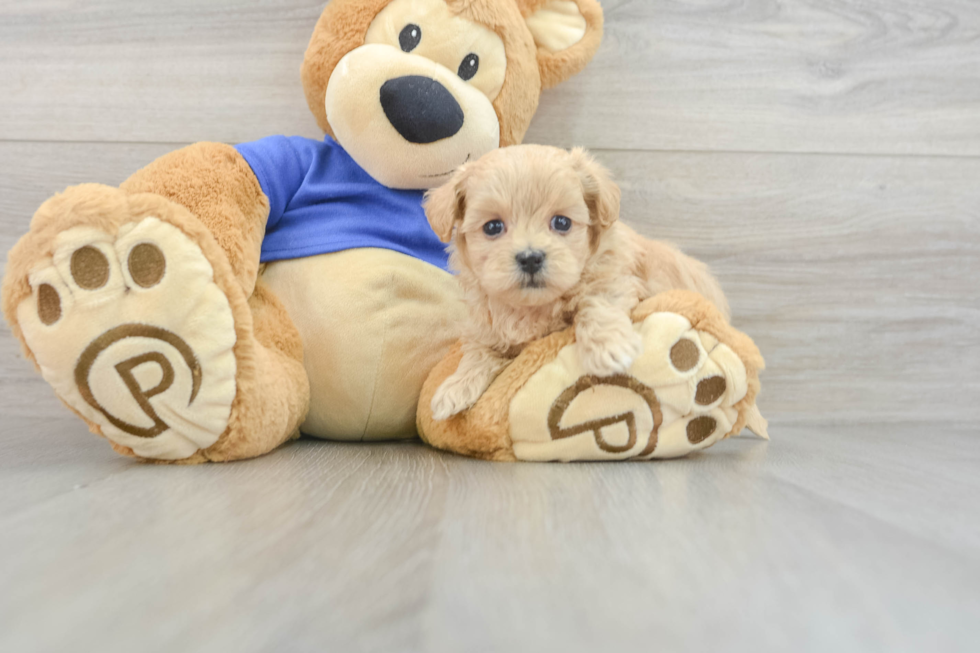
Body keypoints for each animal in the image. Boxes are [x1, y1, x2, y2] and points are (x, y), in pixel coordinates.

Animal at [424, 145, 732, 420]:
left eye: (562, 222)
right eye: (492, 227)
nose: (531, 258)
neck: (532, 308)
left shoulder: (616, 279)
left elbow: (596, 302)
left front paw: (609, 348)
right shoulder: (487, 326)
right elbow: (478, 352)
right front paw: (455, 388)